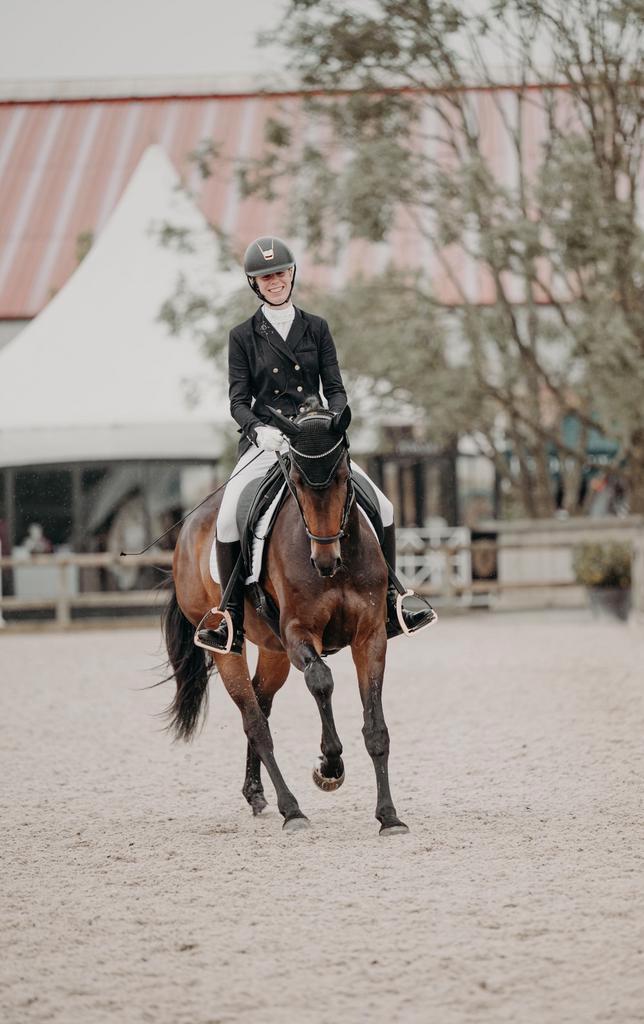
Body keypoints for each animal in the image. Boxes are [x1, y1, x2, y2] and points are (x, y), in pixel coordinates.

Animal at [162, 399, 409, 836]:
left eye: (343, 476)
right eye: (295, 480)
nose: (324, 562)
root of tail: (189, 527)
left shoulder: (371, 636)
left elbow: (376, 726)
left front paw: (389, 816)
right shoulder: (299, 634)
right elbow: (321, 681)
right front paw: (329, 766)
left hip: (273, 650)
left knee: (262, 704)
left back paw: (256, 793)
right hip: (228, 648)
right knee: (255, 722)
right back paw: (291, 809)